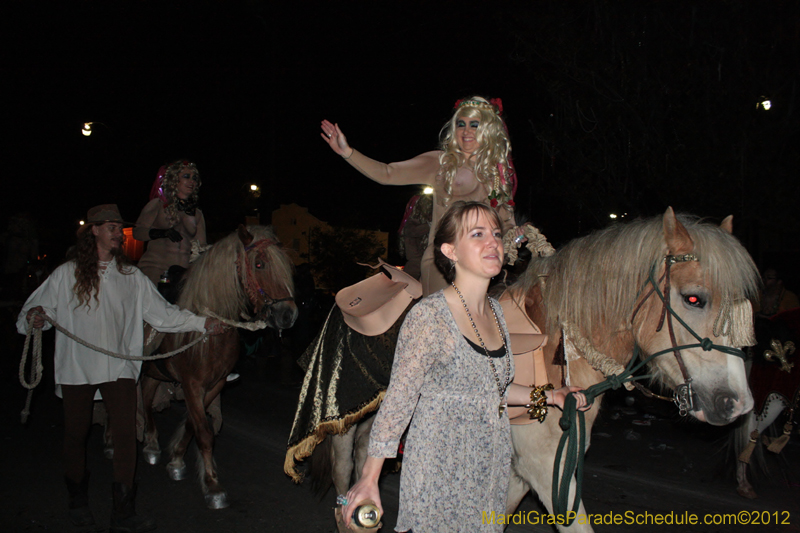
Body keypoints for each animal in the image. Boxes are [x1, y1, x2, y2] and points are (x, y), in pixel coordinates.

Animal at [141, 224, 296, 508]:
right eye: (259, 264)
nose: (288, 315)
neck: (209, 329)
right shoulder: (192, 385)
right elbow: (203, 430)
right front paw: (212, 485)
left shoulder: (216, 384)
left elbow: (195, 424)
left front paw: (177, 459)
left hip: (156, 372)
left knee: (146, 395)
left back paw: (151, 443)